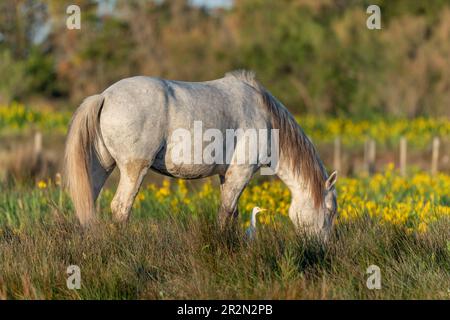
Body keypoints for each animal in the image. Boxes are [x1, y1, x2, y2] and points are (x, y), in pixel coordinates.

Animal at [63, 70, 338, 240]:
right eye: (330, 211)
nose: (320, 249)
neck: (266, 118)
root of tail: (104, 96)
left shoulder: (227, 175)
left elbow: (232, 213)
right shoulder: (241, 172)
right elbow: (225, 213)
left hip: (101, 167)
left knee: (89, 204)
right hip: (134, 169)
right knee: (121, 207)